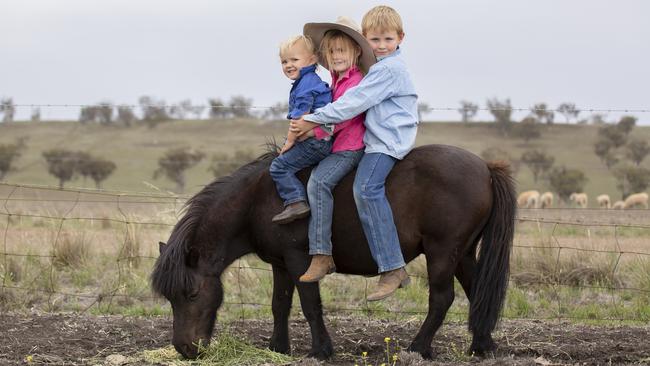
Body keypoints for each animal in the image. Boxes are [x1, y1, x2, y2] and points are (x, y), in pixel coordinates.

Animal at [149, 144, 512, 360]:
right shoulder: (281, 264)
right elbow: (279, 305)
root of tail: (485, 168)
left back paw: (418, 348)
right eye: (170, 298)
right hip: (463, 254)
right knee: (477, 293)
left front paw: (321, 350)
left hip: (442, 253)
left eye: (192, 294)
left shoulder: (300, 261)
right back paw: (482, 347)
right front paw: (278, 348)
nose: (185, 349)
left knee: (442, 299)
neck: (259, 200)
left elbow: (311, 306)